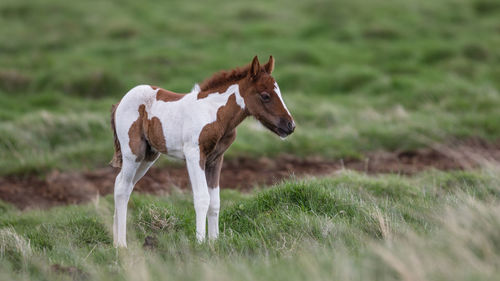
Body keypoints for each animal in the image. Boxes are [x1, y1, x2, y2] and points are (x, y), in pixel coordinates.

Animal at [110, 55, 294, 246]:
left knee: (120, 183)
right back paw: (122, 245)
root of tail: (119, 102)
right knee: (123, 189)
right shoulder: (194, 155)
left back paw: (115, 240)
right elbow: (202, 198)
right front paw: (200, 243)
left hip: (148, 156)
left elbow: (215, 202)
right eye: (265, 95)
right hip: (133, 153)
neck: (214, 113)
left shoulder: (215, 159)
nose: (290, 125)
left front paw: (214, 242)